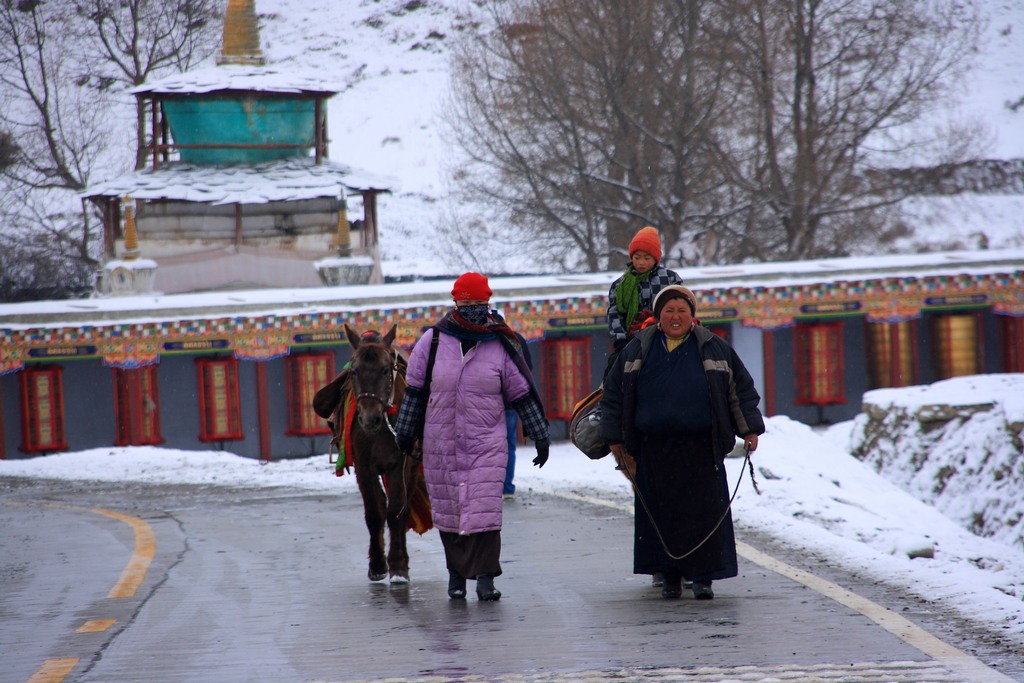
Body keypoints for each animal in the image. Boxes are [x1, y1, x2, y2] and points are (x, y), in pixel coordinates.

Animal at [317, 323, 434, 585]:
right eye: (354, 372)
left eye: (384, 370)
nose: (369, 418)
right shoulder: (364, 466)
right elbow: (374, 512)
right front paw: (378, 565)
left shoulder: (400, 464)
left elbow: (396, 511)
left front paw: (398, 566)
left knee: (402, 507)